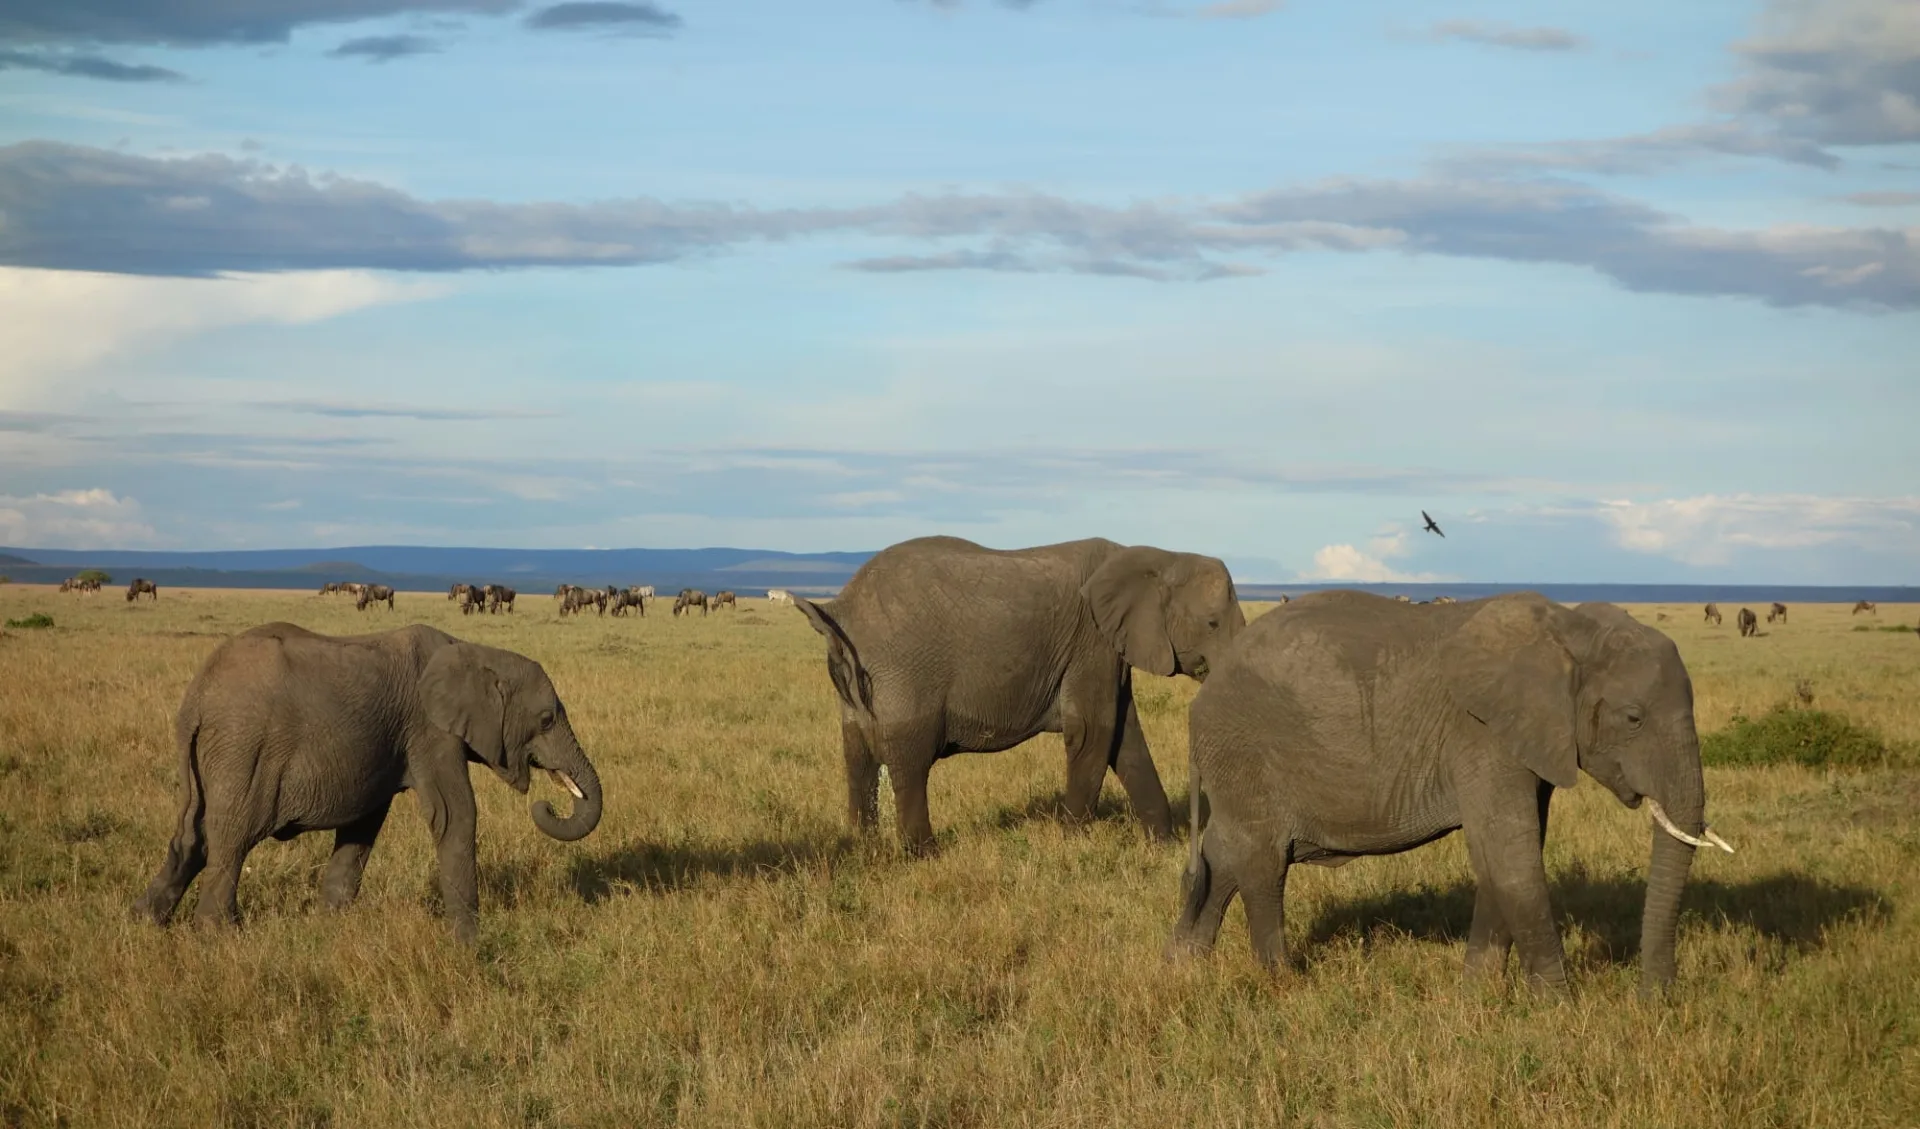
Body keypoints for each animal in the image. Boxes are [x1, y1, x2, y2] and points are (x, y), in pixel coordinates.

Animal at [130, 622, 599, 940]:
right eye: (546, 719)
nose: (544, 803)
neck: (474, 651)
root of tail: (198, 698)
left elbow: (363, 824)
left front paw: (328, 927)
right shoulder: (429, 730)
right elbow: (455, 815)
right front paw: (469, 941)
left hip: (211, 756)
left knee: (190, 838)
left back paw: (142, 923)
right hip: (243, 749)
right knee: (230, 838)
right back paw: (219, 936)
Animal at [794, 533, 1244, 852]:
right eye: (1212, 624)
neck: (1160, 556)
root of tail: (839, 611)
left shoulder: (1109, 649)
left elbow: (1124, 736)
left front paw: (1163, 845)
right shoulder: (1091, 640)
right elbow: (1094, 731)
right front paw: (1073, 843)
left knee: (857, 756)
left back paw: (863, 846)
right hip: (905, 671)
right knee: (909, 758)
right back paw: (923, 853)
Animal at [1167, 591, 1743, 998]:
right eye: (1633, 718)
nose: (1654, 999)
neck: (1569, 630)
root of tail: (1201, 700)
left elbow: (1503, 851)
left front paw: (1477, 996)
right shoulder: (1483, 733)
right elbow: (1512, 852)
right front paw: (1557, 1006)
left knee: (1224, 856)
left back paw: (1187, 966)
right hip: (1244, 749)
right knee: (1262, 863)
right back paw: (1282, 983)